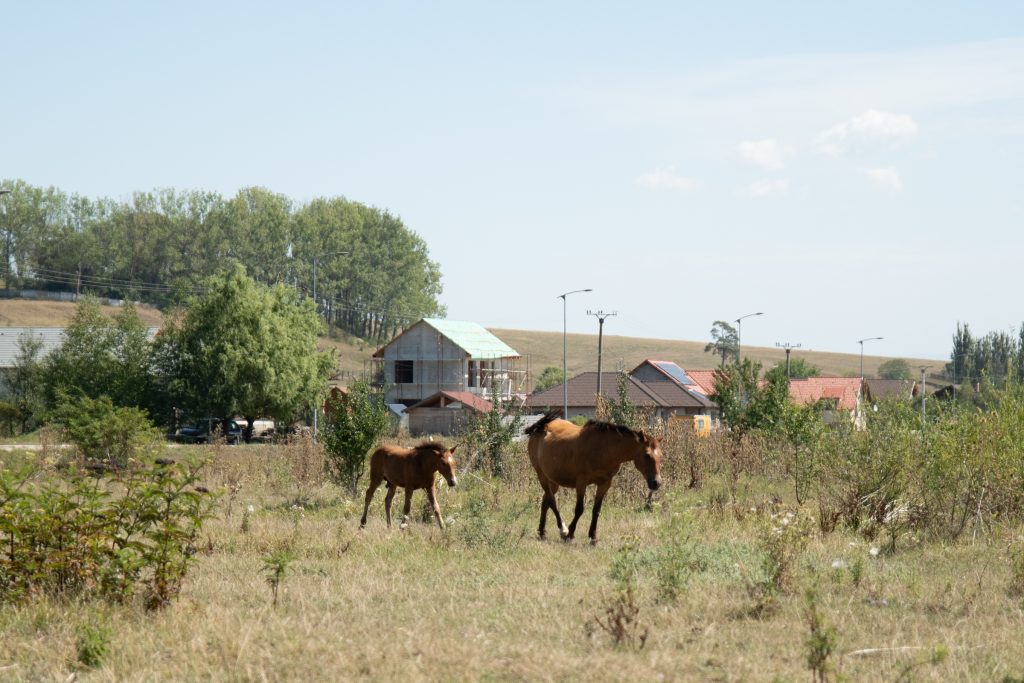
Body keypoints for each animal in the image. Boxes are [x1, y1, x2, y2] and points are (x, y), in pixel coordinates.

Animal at [528, 411, 663, 544]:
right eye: (647, 455)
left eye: (661, 455)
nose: (656, 482)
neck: (604, 449)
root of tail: (539, 427)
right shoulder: (581, 482)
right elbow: (579, 509)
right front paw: (570, 534)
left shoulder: (605, 483)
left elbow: (596, 510)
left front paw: (593, 537)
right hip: (541, 475)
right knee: (552, 501)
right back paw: (563, 530)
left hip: (553, 480)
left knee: (545, 501)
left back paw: (542, 532)